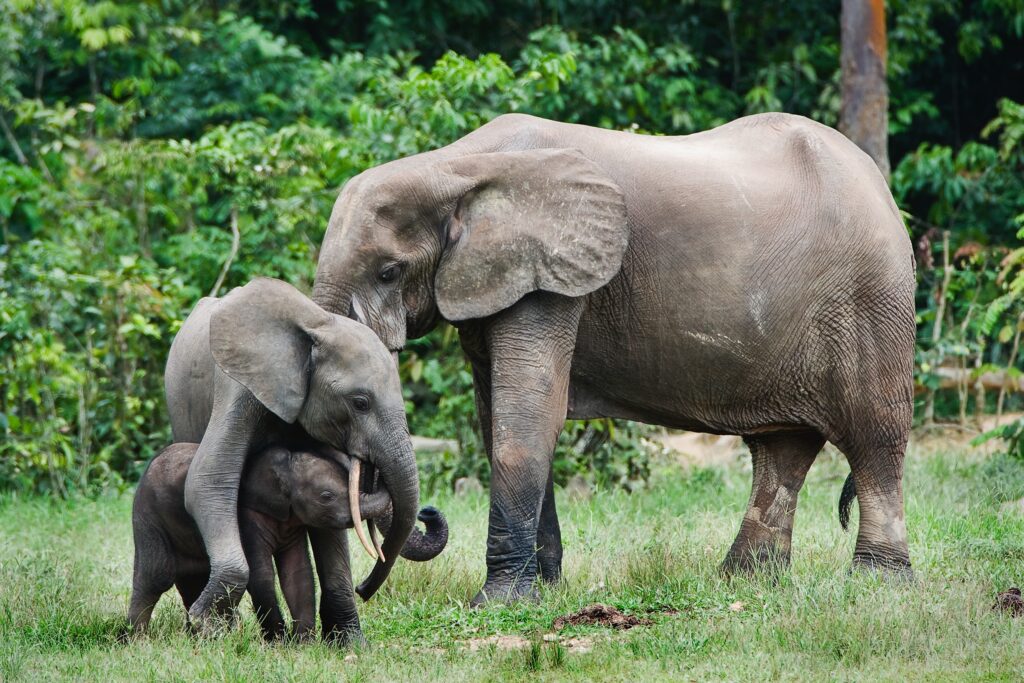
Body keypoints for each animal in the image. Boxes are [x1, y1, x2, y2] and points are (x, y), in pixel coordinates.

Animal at [128, 444, 448, 643]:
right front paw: (279, 643)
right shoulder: (246, 515)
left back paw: (202, 638)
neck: (285, 465)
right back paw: (136, 641)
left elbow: (298, 572)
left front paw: (303, 644)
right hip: (148, 514)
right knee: (157, 575)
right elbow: (260, 573)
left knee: (194, 579)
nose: (427, 511)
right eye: (326, 496)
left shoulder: (292, 520)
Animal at [164, 278, 419, 643]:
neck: (316, 327)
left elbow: (329, 514)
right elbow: (207, 481)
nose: (364, 588)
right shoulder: (239, 389)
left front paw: (350, 644)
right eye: (360, 403)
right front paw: (207, 627)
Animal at [313, 112, 921, 602]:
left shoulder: (551, 279)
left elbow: (526, 417)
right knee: (782, 448)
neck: (453, 168)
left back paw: (877, 583)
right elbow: (498, 419)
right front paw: (546, 591)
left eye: (388, 272)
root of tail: (878, 181)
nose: (366, 590)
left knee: (874, 437)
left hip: (871, 299)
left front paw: (501, 603)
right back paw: (747, 582)